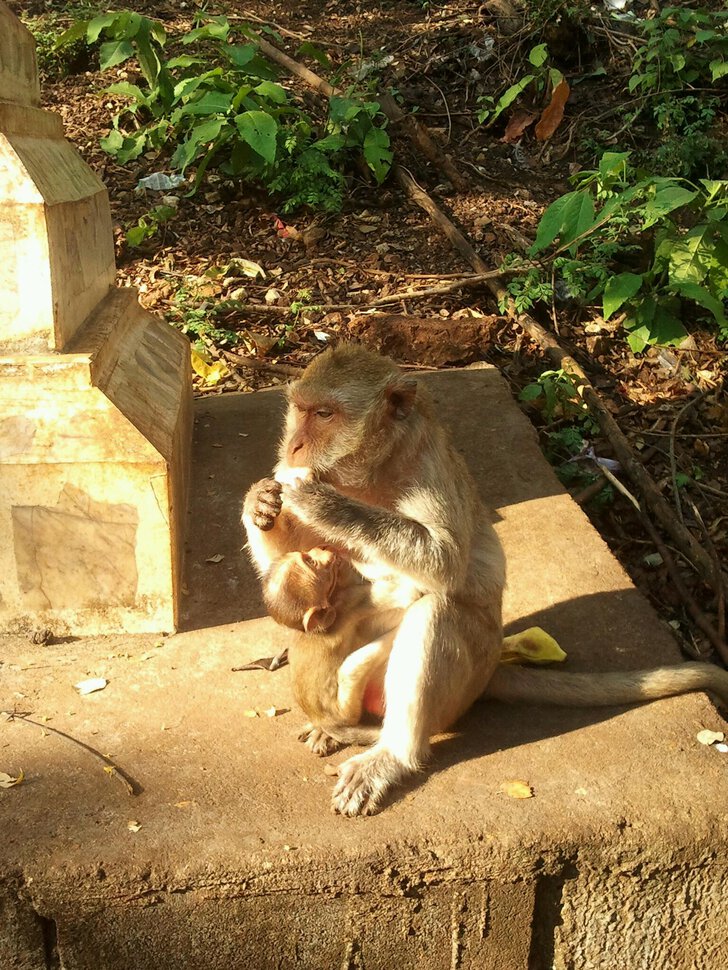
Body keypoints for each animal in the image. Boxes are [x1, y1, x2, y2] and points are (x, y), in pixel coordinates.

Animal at [264, 544, 412, 756]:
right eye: (311, 562)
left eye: (307, 556)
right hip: (346, 710)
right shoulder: (352, 601)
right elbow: (408, 591)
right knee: (352, 671)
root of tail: (323, 721)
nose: (322, 547)